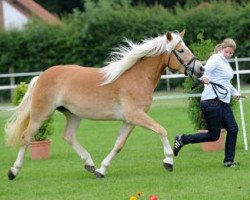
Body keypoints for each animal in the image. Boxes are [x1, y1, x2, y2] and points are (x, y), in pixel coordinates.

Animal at [4, 29, 204, 180]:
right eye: (180, 50)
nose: (201, 69)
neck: (138, 77)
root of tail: (41, 76)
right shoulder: (136, 116)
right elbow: (161, 130)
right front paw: (168, 161)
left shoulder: (129, 121)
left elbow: (118, 145)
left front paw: (101, 170)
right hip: (41, 114)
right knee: (26, 137)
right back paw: (13, 171)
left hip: (73, 114)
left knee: (68, 136)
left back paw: (90, 164)